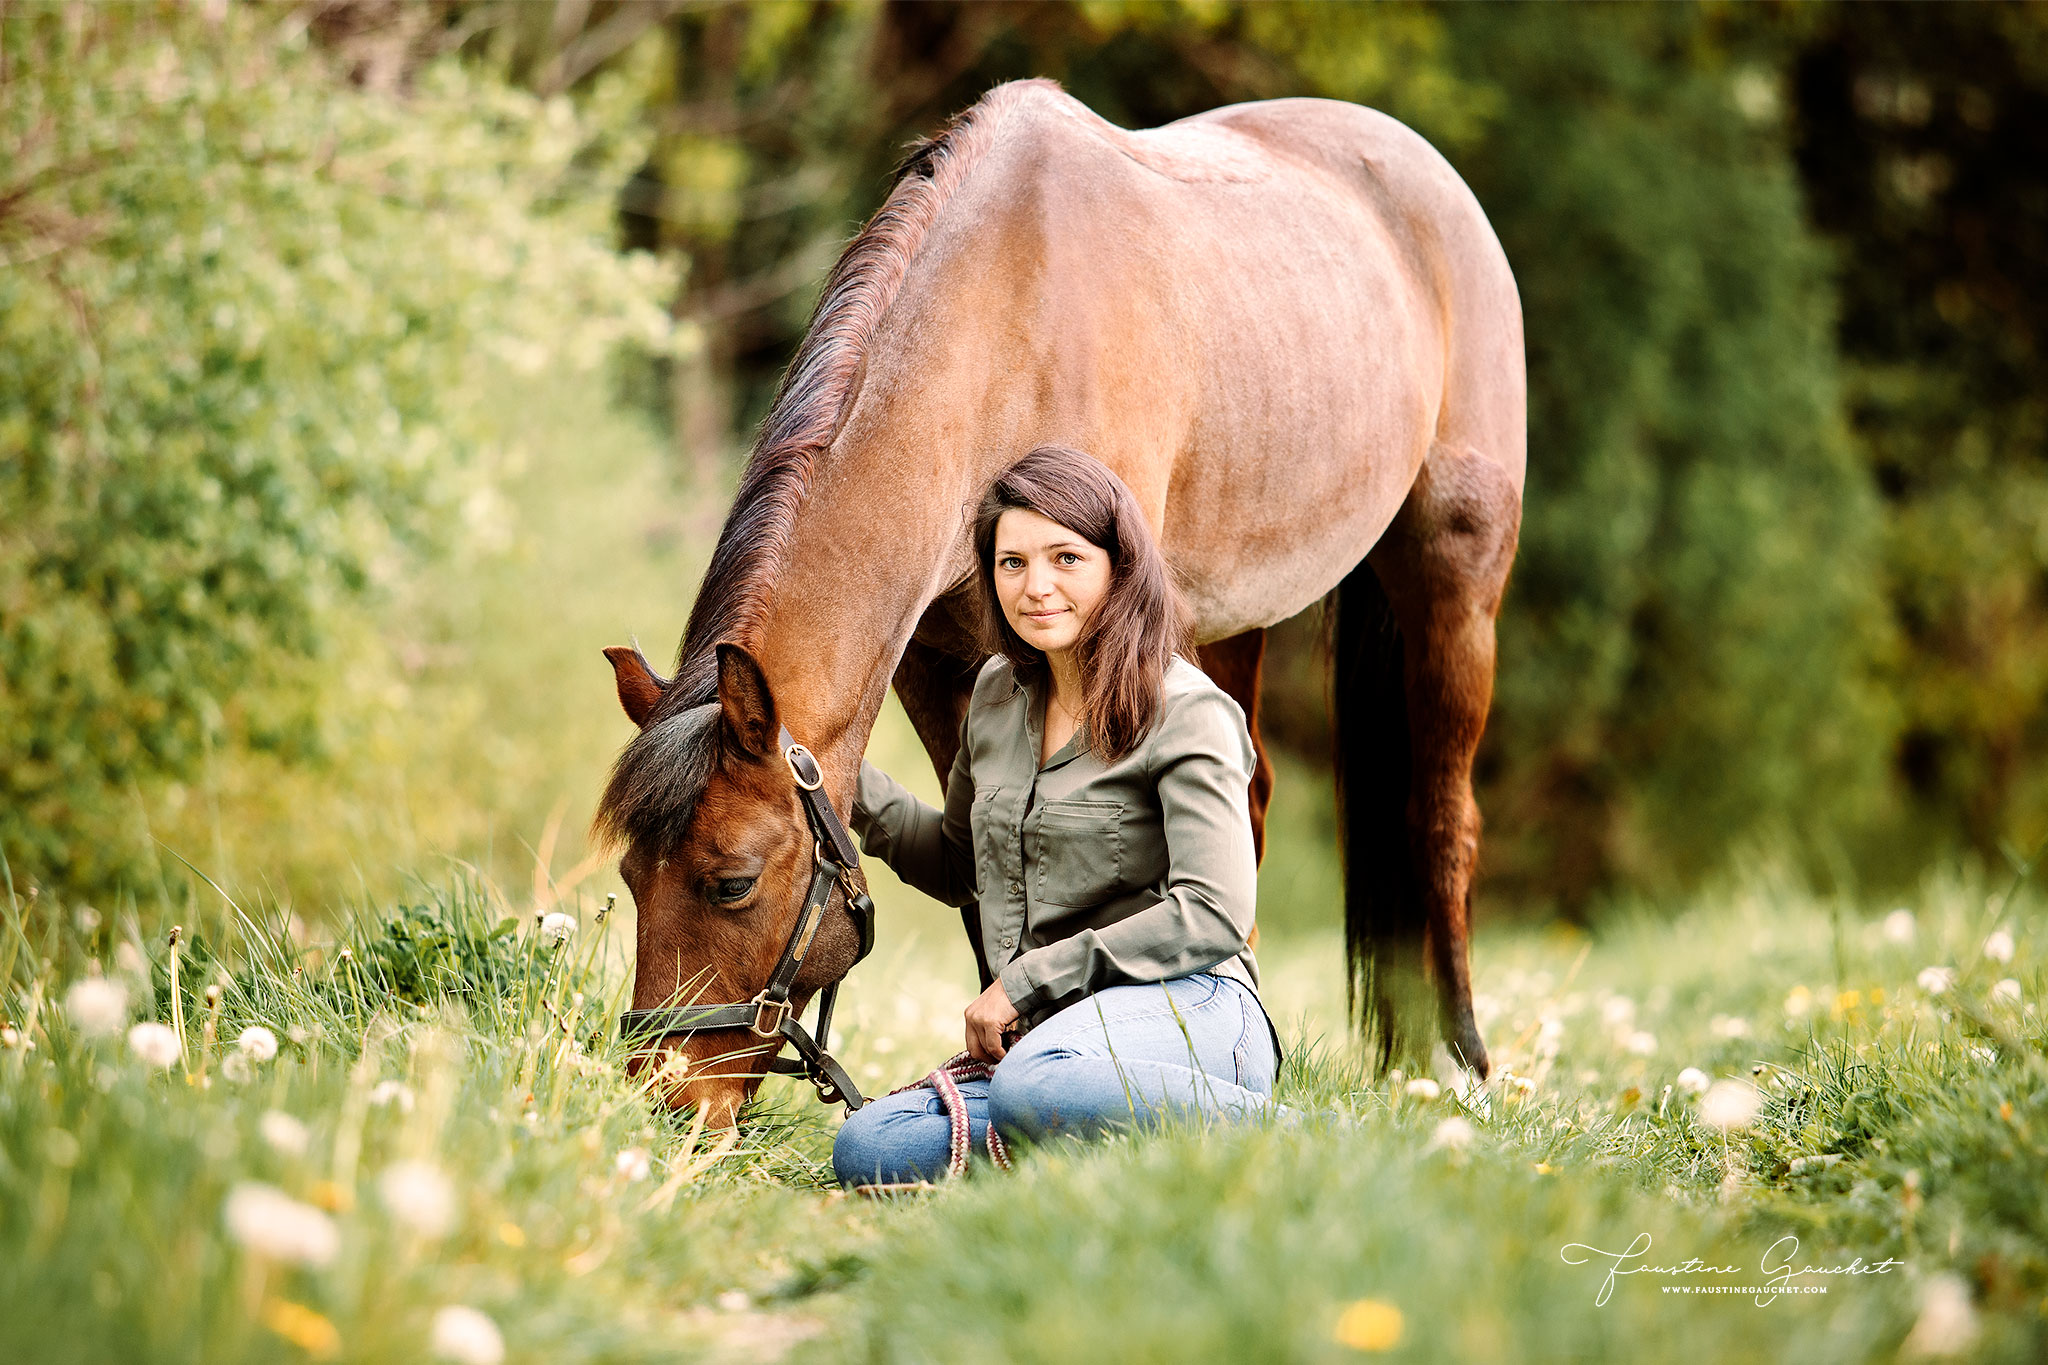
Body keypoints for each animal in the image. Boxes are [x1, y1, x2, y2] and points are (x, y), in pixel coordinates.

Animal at [593, 80, 1523, 1121]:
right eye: (631, 875)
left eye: (732, 882)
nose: (661, 1099)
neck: (1005, 333)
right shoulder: (944, 669)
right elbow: (981, 873)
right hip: (1229, 620)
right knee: (1248, 804)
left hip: (1455, 582)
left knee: (1442, 814)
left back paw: (1461, 1066)